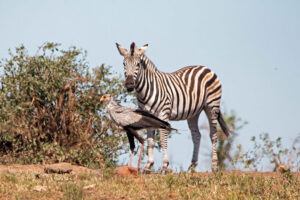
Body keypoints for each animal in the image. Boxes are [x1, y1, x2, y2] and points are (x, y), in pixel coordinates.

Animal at [115, 41, 230, 172]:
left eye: (138, 64)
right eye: (124, 64)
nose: (129, 85)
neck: (145, 91)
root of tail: (205, 68)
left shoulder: (163, 113)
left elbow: (163, 137)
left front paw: (165, 165)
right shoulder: (147, 115)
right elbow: (150, 140)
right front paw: (148, 166)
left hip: (212, 106)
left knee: (213, 134)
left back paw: (214, 166)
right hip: (194, 112)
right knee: (197, 135)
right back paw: (192, 166)